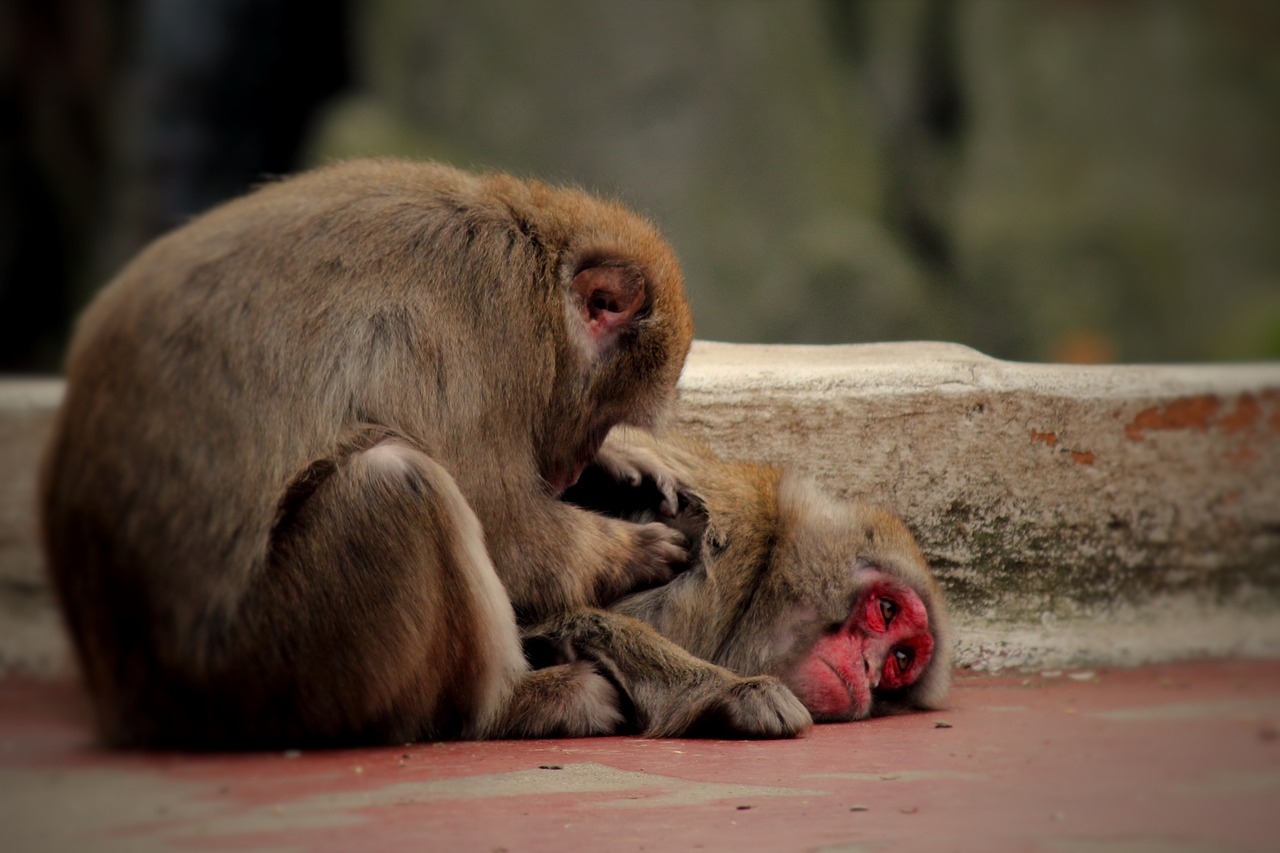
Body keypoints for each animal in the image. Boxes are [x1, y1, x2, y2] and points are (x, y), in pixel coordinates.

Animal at [40, 157, 808, 742]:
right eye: (607, 412)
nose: (568, 466)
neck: (533, 265)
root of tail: (135, 703)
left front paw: (630, 467)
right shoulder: (486, 338)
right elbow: (507, 530)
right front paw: (630, 550)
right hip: (272, 673)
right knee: (398, 482)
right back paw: (517, 704)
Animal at [545, 427, 957, 732]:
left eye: (900, 659)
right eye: (887, 610)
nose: (869, 669)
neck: (763, 574)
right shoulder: (728, 548)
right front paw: (728, 692)